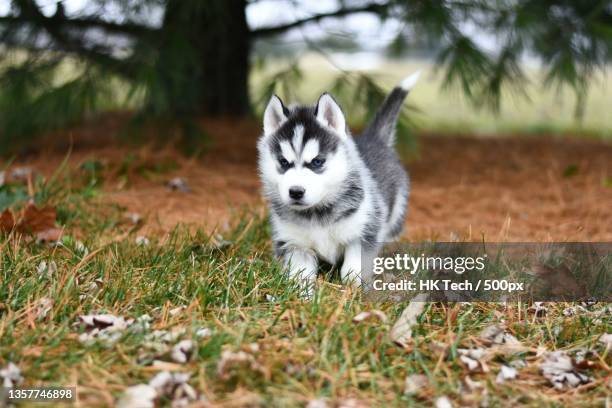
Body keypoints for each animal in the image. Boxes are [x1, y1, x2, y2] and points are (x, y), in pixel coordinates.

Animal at [255, 71, 420, 292]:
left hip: (395, 216)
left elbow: (352, 269)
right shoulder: (295, 244)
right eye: (283, 162)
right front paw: (302, 295)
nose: (296, 192)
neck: (316, 214)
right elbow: (300, 276)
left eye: (317, 162)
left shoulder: (363, 232)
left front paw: (352, 291)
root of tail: (374, 139)